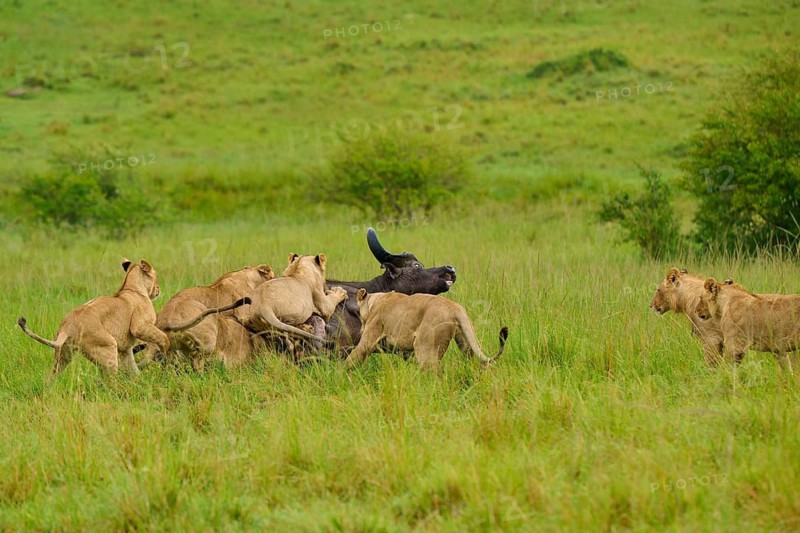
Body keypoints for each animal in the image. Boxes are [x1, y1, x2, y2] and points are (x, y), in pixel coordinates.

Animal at [17, 259, 169, 377]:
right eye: (156, 277)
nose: (159, 289)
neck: (132, 287)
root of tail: (68, 324)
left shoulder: (125, 348)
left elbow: (132, 367)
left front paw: (139, 381)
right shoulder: (139, 327)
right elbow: (162, 337)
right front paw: (165, 351)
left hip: (62, 355)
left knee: (51, 377)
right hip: (108, 347)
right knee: (109, 381)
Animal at [344, 289, 509, 371]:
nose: (361, 329)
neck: (374, 300)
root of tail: (454, 307)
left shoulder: (371, 336)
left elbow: (353, 357)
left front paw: (340, 376)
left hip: (425, 347)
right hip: (466, 344)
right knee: (482, 364)